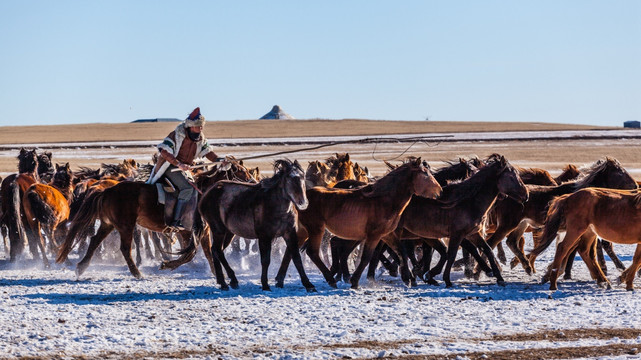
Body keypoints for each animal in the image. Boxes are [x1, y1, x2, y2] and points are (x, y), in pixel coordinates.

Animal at [198, 160, 312, 292]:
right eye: (289, 178)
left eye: (302, 176)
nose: (303, 202)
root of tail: (206, 194)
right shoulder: (264, 236)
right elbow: (265, 260)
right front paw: (265, 285)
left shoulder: (290, 233)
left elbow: (296, 258)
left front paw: (309, 285)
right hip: (218, 230)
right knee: (217, 250)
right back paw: (229, 281)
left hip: (228, 233)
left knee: (216, 250)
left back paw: (224, 281)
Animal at [276, 159, 440, 288]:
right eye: (425, 173)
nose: (439, 191)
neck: (383, 200)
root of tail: (302, 199)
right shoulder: (374, 236)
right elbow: (367, 257)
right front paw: (354, 281)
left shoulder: (387, 235)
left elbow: (401, 253)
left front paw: (408, 278)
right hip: (316, 229)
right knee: (312, 252)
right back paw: (330, 279)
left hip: (303, 230)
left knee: (292, 250)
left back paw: (281, 280)